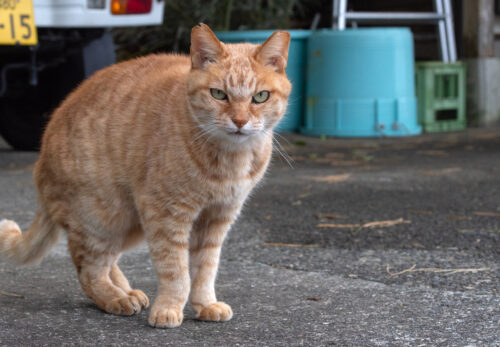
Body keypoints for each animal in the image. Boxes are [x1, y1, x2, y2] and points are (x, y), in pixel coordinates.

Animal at [0, 24, 292, 328]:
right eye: (219, 94)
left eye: (260, 97)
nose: (239, 121)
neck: (230, 160)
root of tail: (40, 159)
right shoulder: (166, 214)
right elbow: (175, 270)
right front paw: (169, 308)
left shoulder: (217, 218)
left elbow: (205, 268)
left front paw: (205, 304)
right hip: (102, 218)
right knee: (88, 270)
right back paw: (116, 298)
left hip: (128, 225)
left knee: (106, 262)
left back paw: (126, 290)